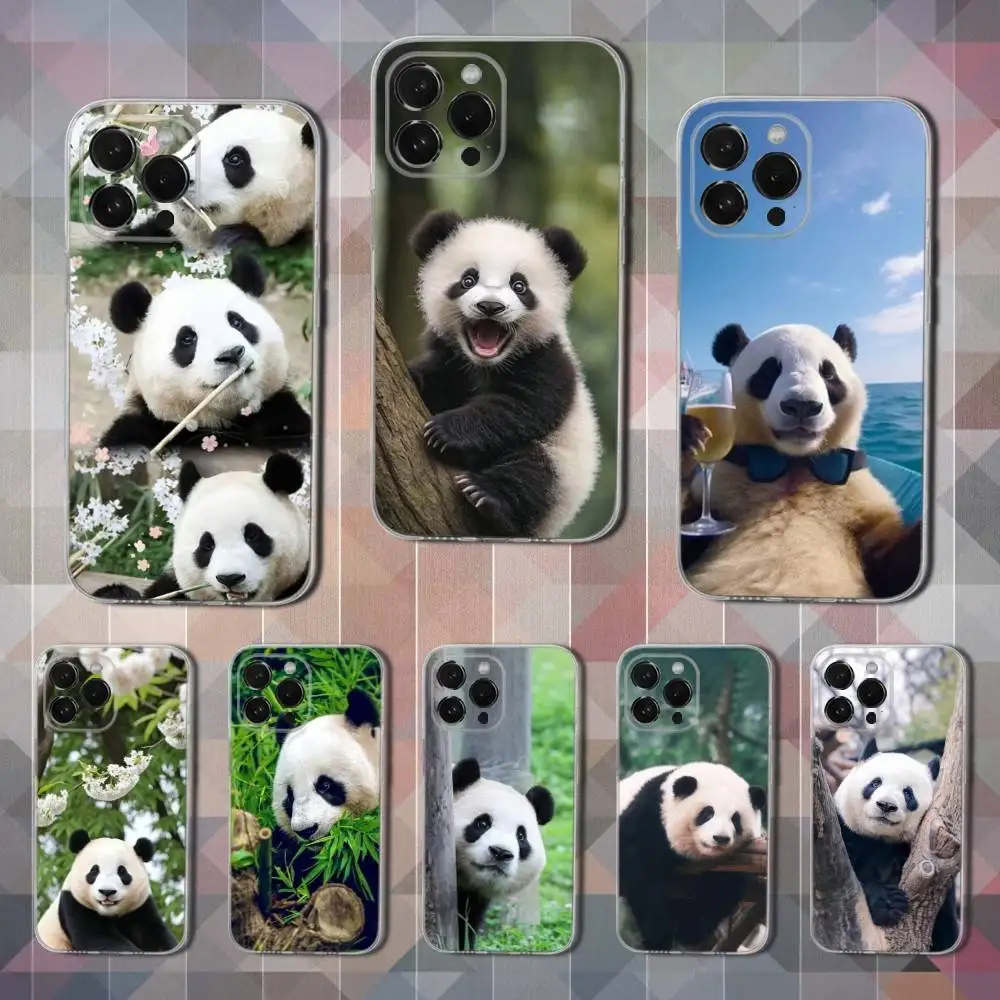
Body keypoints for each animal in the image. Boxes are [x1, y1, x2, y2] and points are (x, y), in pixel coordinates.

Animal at [36, 829, 176, 953]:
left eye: (122, 872)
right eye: (94, 871)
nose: (107, 892)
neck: (110, 913)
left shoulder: (139, 908)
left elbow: (154, 935)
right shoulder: (75, 903)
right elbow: (98, 939)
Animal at [405, 209, 602, 539]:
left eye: (519, 286)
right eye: (468, 279)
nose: (490, 306)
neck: (485, 363)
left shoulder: (546, 360)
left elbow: (521, 404)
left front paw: (445, 431)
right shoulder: (450, 356)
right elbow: (436, 379)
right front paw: (415, 377)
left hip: (562, 471)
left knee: (531, 474)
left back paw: (487, 498)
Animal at [617, 762, 766, 952]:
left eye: (735, 819)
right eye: (707, 813)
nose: (720, 838)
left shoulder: (742, 858)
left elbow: (725, 888)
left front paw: (691, 930)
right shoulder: (648, 818)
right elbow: (639, 874)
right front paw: (658, 935)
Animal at [680, 322, 922, 600]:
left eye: (828, 373)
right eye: (770, 370)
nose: (802, 405)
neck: (795, 466)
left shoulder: (859, 502)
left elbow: (893, 566)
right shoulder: (723, 492)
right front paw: (691, 435)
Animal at [834, 737, 959, 951]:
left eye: (908, 793)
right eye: (875, 783)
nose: (886, 805)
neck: (879, 838)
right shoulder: (844, 834)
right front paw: (888, 903)